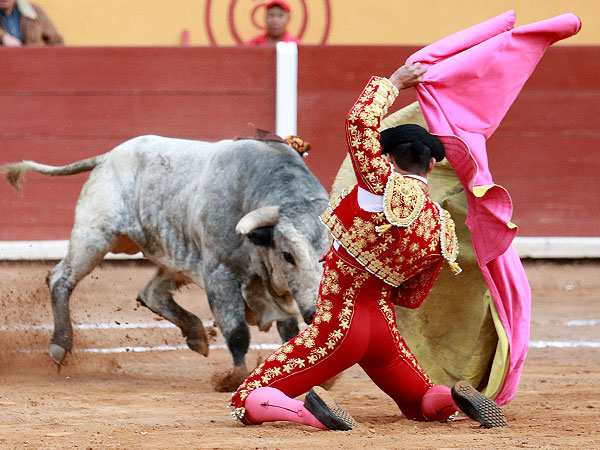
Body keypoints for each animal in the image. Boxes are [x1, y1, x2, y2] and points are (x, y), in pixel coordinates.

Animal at [1, 134, 328, 386]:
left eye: (328, 256)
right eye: (288, 255)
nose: (314, 312)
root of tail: (107, 157)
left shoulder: (277, 288)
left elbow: (288, 330)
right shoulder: (219, 274)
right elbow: (237, 332)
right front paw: (233, 378)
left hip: (174, 255)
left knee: (151, 293)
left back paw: (195, 334)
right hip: (93, 235)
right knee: (61, 279)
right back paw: (60, 345)